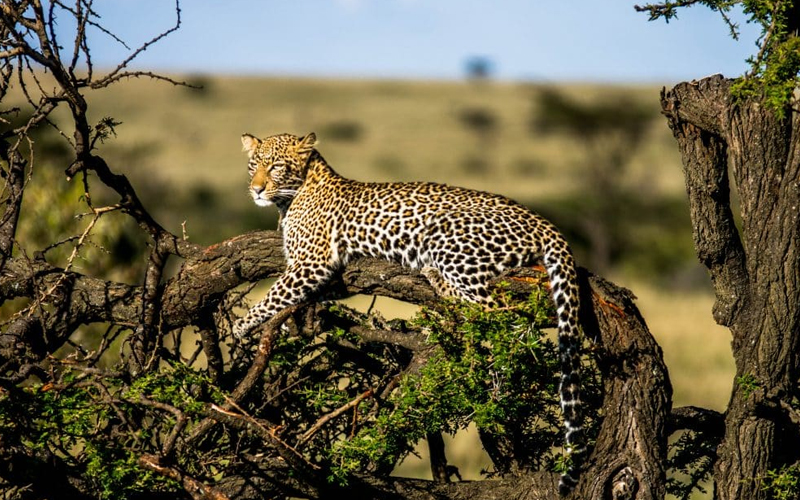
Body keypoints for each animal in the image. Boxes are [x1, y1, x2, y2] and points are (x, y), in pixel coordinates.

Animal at [234, 131, 584, 494]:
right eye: (253, 165)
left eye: (276, 167)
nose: (256, 189)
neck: (294, 194)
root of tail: (542, 221)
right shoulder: (318, 273)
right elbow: (294, 298)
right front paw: (285, 325)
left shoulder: (312, 263)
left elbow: (275, 293)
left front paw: (243, 325)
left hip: (447, 235)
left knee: (498, 311)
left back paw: (438, 294)